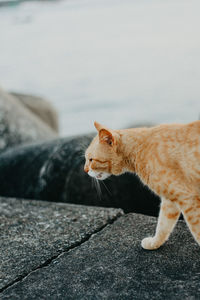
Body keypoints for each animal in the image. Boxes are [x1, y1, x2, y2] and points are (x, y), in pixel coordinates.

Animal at [84, 120, 200, 250]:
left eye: (91, 160)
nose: (85, 170)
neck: (140, 148)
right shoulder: (170, 200)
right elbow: (163, 224)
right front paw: (154, 243)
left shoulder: (187, 198)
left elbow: (197, 230)